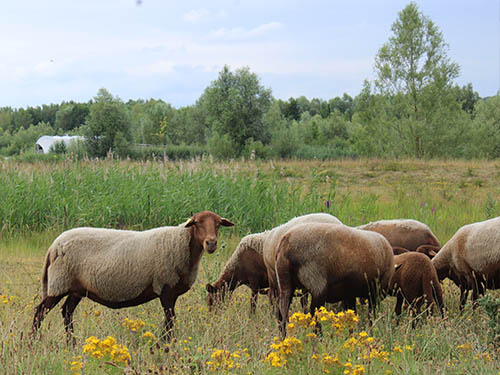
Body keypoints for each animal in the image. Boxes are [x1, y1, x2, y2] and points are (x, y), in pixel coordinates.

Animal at [31, 212, 234, 344]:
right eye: (197, 223)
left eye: (218, 224)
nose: (211, 243)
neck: (182, 242)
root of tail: (54, 246)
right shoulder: (165, 287)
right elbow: (169, 320)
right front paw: (165, 344)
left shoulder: (172, 291)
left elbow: (169, 320)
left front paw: (164, 342)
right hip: (59, 283)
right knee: (40, 312)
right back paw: (32, 342)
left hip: (76, 288)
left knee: (67, 312)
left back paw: (72, 343)